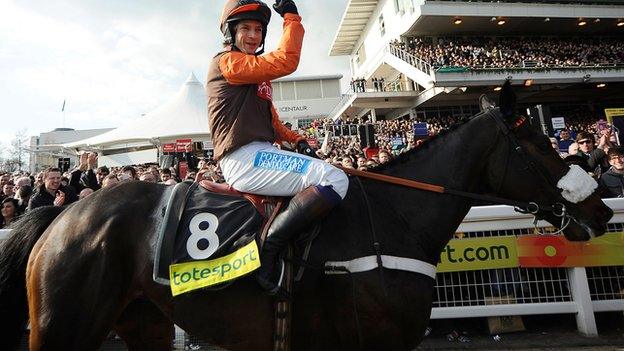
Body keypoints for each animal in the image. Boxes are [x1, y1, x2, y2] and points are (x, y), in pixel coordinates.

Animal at [0, 86, 616, 351]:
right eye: (536, 143)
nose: (601, 208)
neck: (393, 215)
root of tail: (62, 215)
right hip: (63, 325)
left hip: (143, 321)